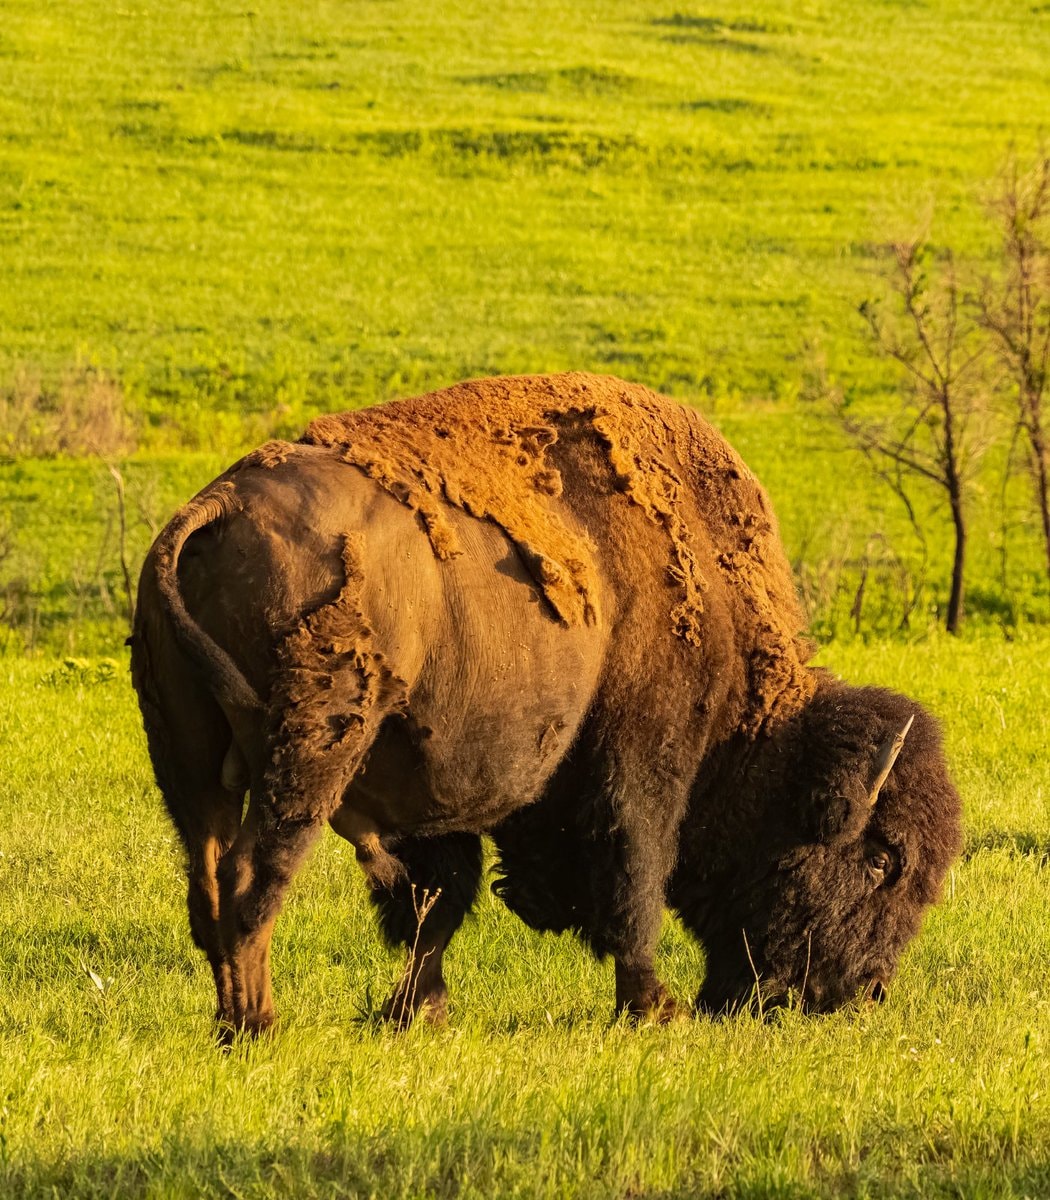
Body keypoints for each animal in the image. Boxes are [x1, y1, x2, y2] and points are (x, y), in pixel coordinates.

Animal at [131, 372, 962, 1036]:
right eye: (882, 860)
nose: (864, 993)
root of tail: (217, 506)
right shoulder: (641, 762)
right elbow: (632, 879)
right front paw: (652, 1008)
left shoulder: (433, 794)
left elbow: (436, 900)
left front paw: (420, 1013)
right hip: (309, 754)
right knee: (253, 879)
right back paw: (257, 1027)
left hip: (187, 763)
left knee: (208, 882)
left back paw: (235, 1021)